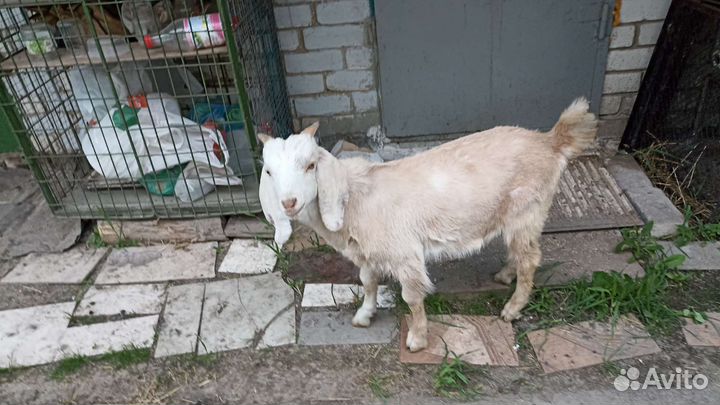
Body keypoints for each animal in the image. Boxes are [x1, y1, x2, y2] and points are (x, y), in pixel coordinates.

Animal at [259, 98, 597, 352]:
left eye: (311, 165)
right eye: (269, 172)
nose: (289, 203)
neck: (353, 196)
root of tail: (551, 141)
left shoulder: (404, 254)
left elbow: (412, 298)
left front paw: (417, 339)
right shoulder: (368, 252)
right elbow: (367, 282)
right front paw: (364, 315)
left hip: (528, 210)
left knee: (529, 260)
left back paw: (513, 308)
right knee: (519, 253)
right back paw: (504, 275)